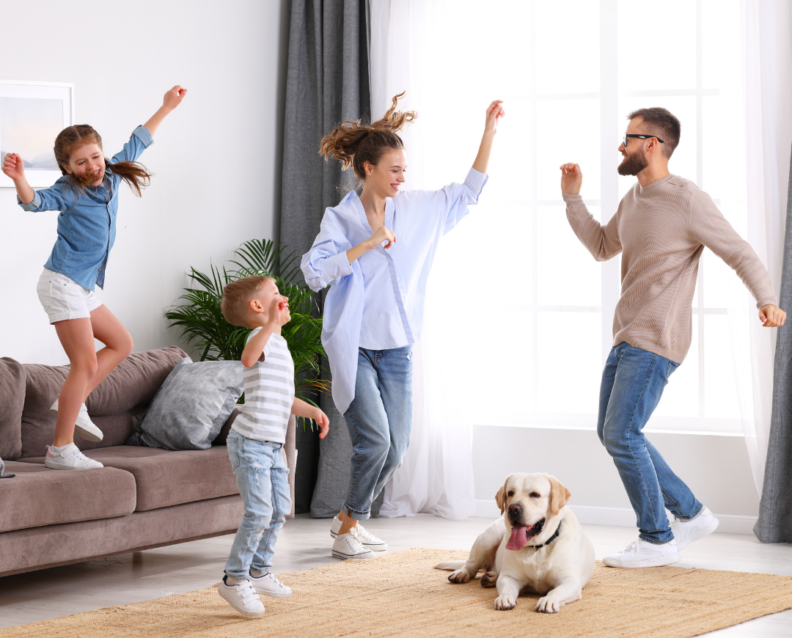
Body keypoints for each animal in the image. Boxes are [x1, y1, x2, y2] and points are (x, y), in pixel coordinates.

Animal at [434, 476, 592, 616]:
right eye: (510, 493)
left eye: (535, 494)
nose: (513, 509)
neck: (536, 548)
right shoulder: (510, 577)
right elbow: (506, 587)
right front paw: (504, 598)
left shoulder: (570, 581)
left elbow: (556, 591)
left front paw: (548, 600)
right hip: (488, 537)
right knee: (471, 565)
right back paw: (463, 573)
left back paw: (490, 578)